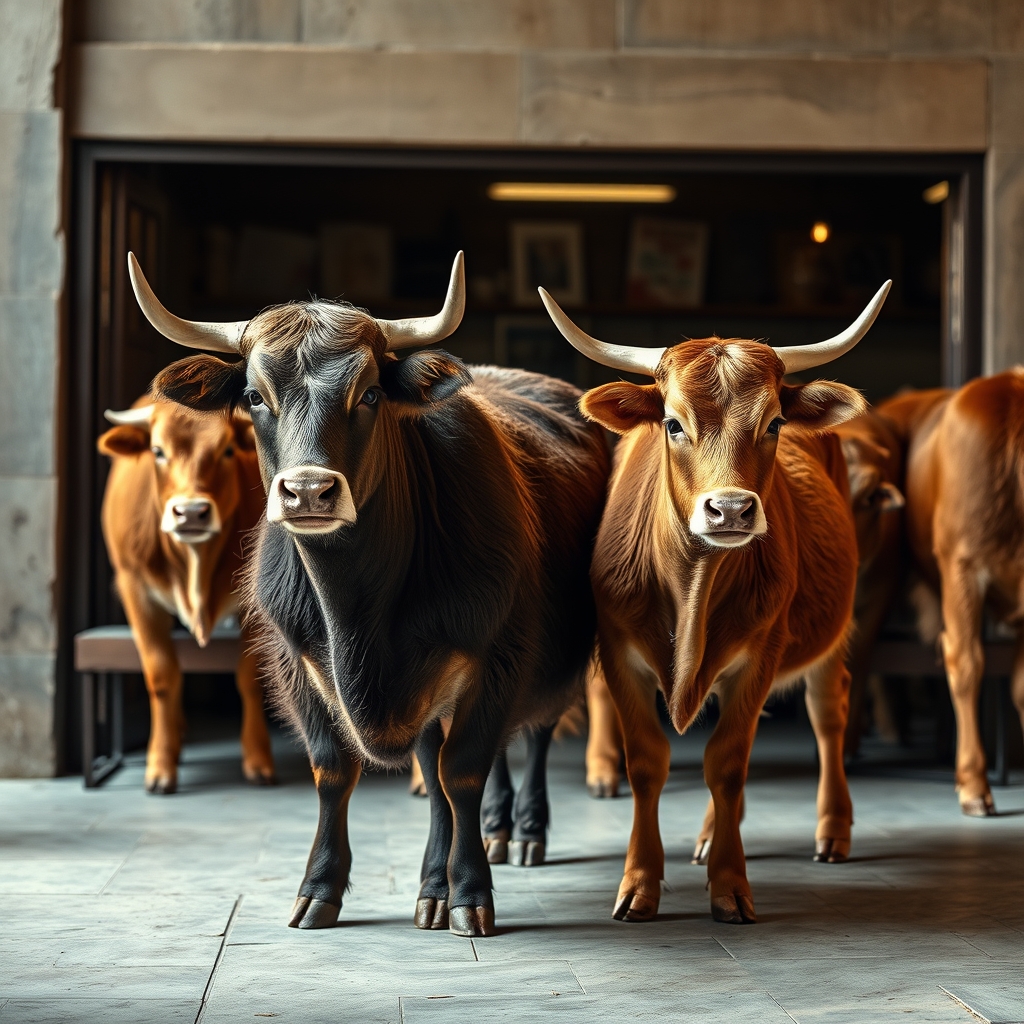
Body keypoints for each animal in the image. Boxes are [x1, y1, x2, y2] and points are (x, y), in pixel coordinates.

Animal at [98, 398, 275, 794]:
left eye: (227, 450)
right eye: (157, 451)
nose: (192, 512)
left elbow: (248, 677)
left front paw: (258, 759)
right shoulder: (135, 588)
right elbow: (163, 676)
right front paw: (161, 766)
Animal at [126, 251, 610, 937]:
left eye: (371, 393)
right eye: (254, 396)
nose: (307, 491)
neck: (359, 611)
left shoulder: (500, 654)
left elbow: (465, 768)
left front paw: (468, 892)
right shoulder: (295, 660)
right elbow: (340, 769)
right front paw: (322, 888)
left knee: (529, 735)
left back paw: (521, 834)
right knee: (438, 767)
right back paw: (457, 860)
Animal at [539, 281, 889, 923]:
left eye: (774, 423)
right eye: (673, 425)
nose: (730, 509)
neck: (693, 587)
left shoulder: (762, 653)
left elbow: (726, 763)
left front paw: (730, 884)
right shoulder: (619, 653)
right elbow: (648, 762)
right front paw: (640, 882)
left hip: (831, 634)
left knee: (828, 715)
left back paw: (832, 830)